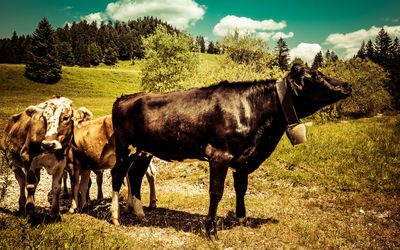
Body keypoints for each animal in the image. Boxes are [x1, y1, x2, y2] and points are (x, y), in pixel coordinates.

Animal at [108, 65, 350, 238]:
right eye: (317, 76)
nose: (347, 84)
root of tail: (125, 97)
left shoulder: (243, 159)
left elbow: (242, 189)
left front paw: (242, 218)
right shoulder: (219, 156)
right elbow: (216, 193)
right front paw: (211, 230)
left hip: (144, 151)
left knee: (135, 176)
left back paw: (141, 215)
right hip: (125, 148)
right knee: (117, 175)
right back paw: (115, 216)